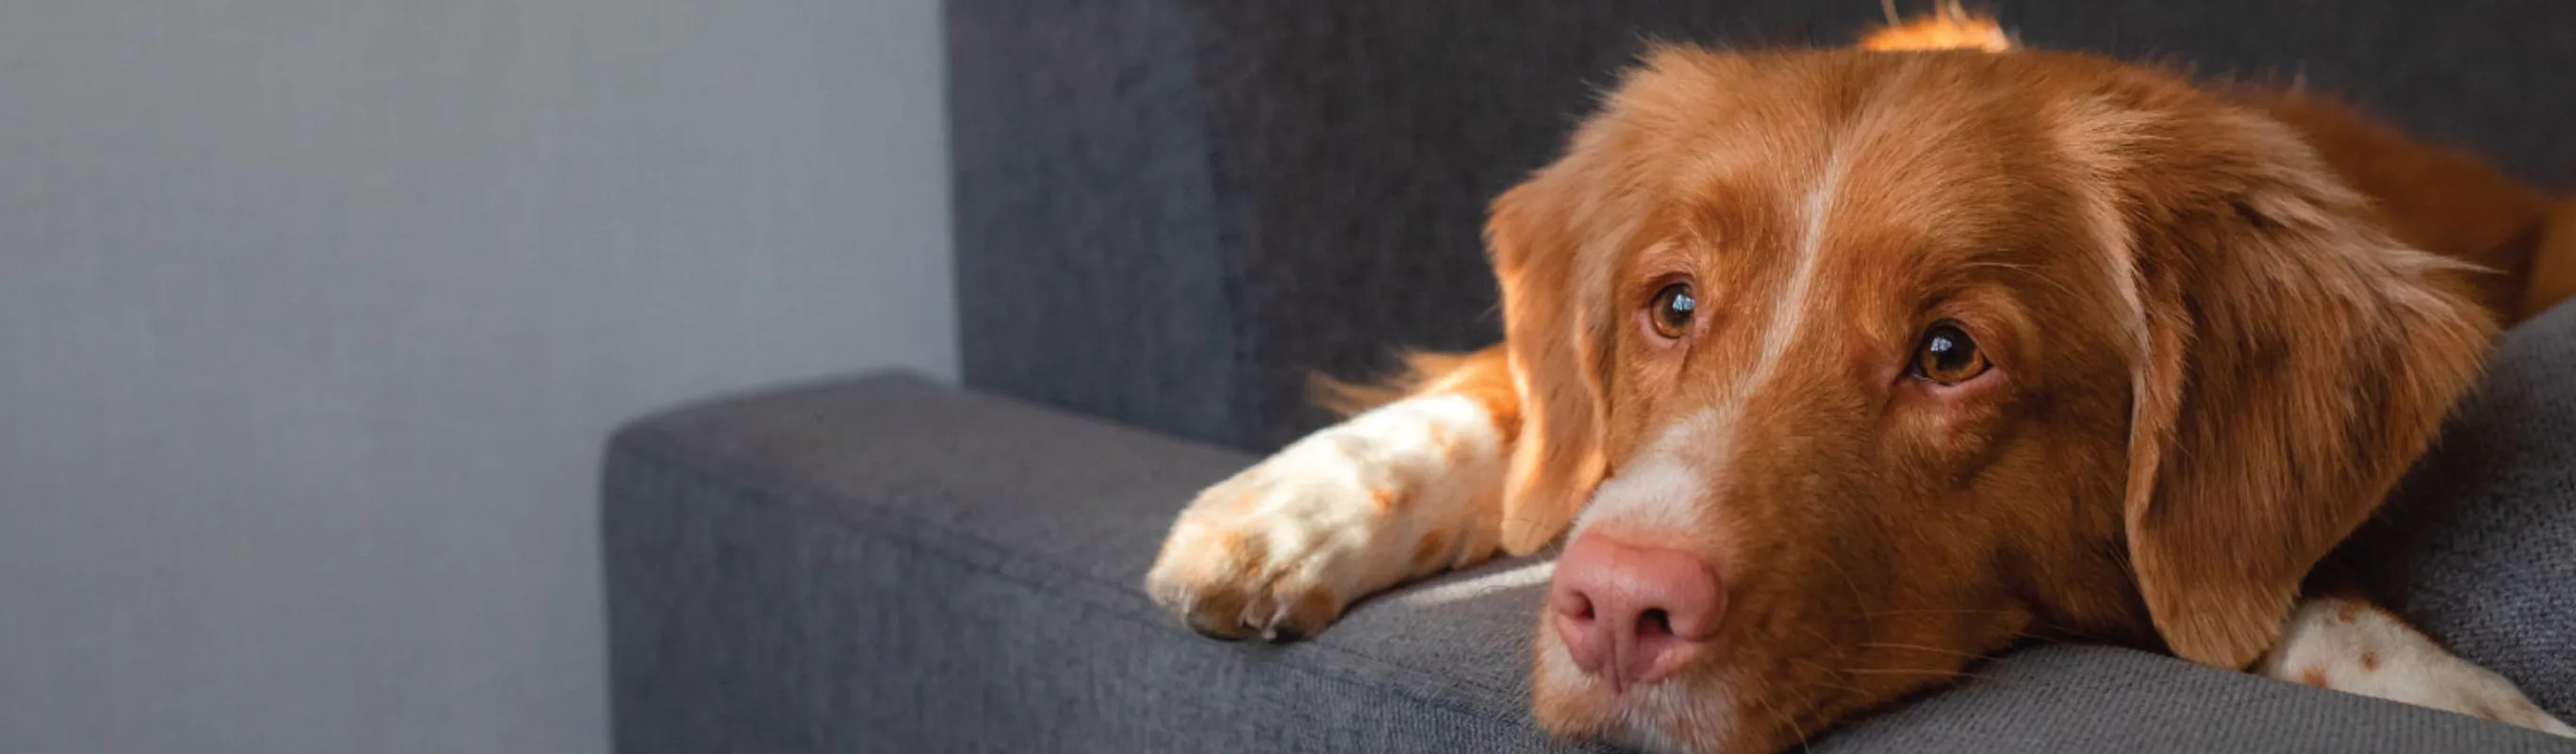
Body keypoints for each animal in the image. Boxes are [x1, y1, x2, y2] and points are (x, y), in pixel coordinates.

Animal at [1148, 8, 2576, 746]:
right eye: (1671, 305)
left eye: (1949, 354)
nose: (1615, 609)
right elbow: (1533, 407)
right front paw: (1301, 506)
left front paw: (2442, 687)